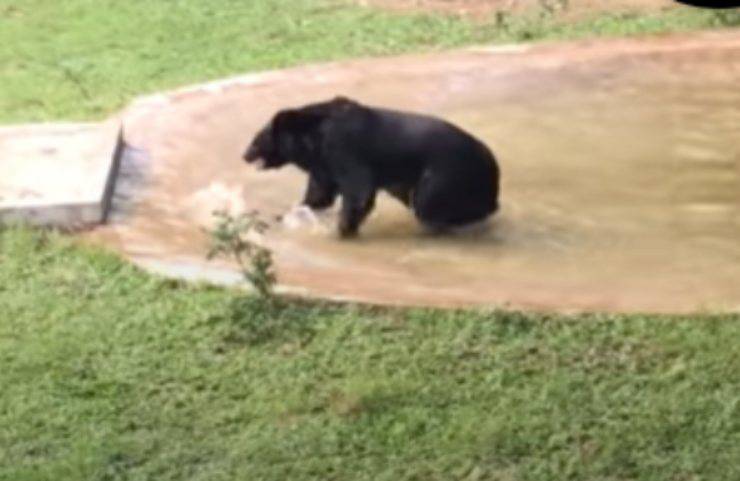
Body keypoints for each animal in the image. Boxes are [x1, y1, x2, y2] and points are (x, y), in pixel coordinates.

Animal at [246, 96, 500, 238]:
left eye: (258, 140)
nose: (245, 155)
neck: (313, 140)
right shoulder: (323, 165)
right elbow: (319, 195)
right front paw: (283, 216)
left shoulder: (344, 149)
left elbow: (358, 192)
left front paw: (341, 232)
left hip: (447, 177)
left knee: (428, 205)